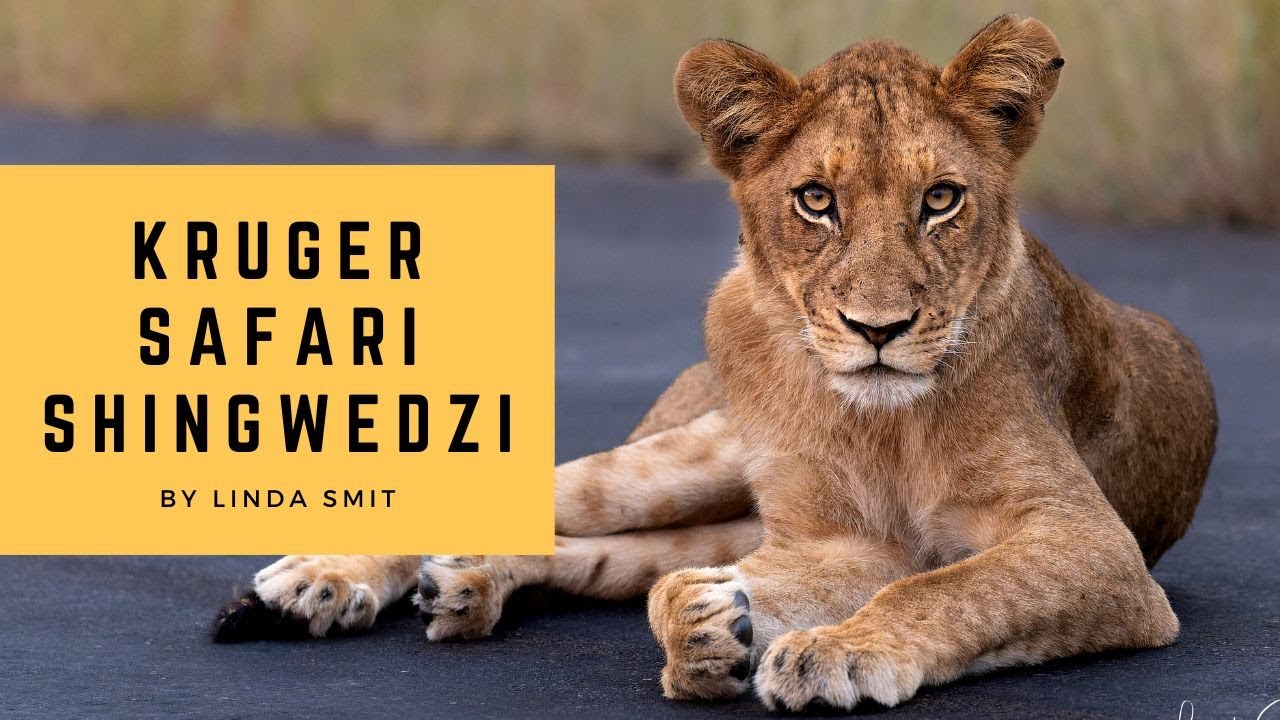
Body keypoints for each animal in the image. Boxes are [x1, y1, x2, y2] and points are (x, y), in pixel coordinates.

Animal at [214, 15, 1216, 712]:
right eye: (816, 201)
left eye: (941, 200)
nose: (879, 329)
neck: (882, 426)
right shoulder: (833, 538)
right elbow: (922, 579)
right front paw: (713, 634)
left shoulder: (1091, 549)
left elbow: (949, 585)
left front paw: (812, 644)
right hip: (685, 455)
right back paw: (317, 585)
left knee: (605, 557)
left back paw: (462, 585)